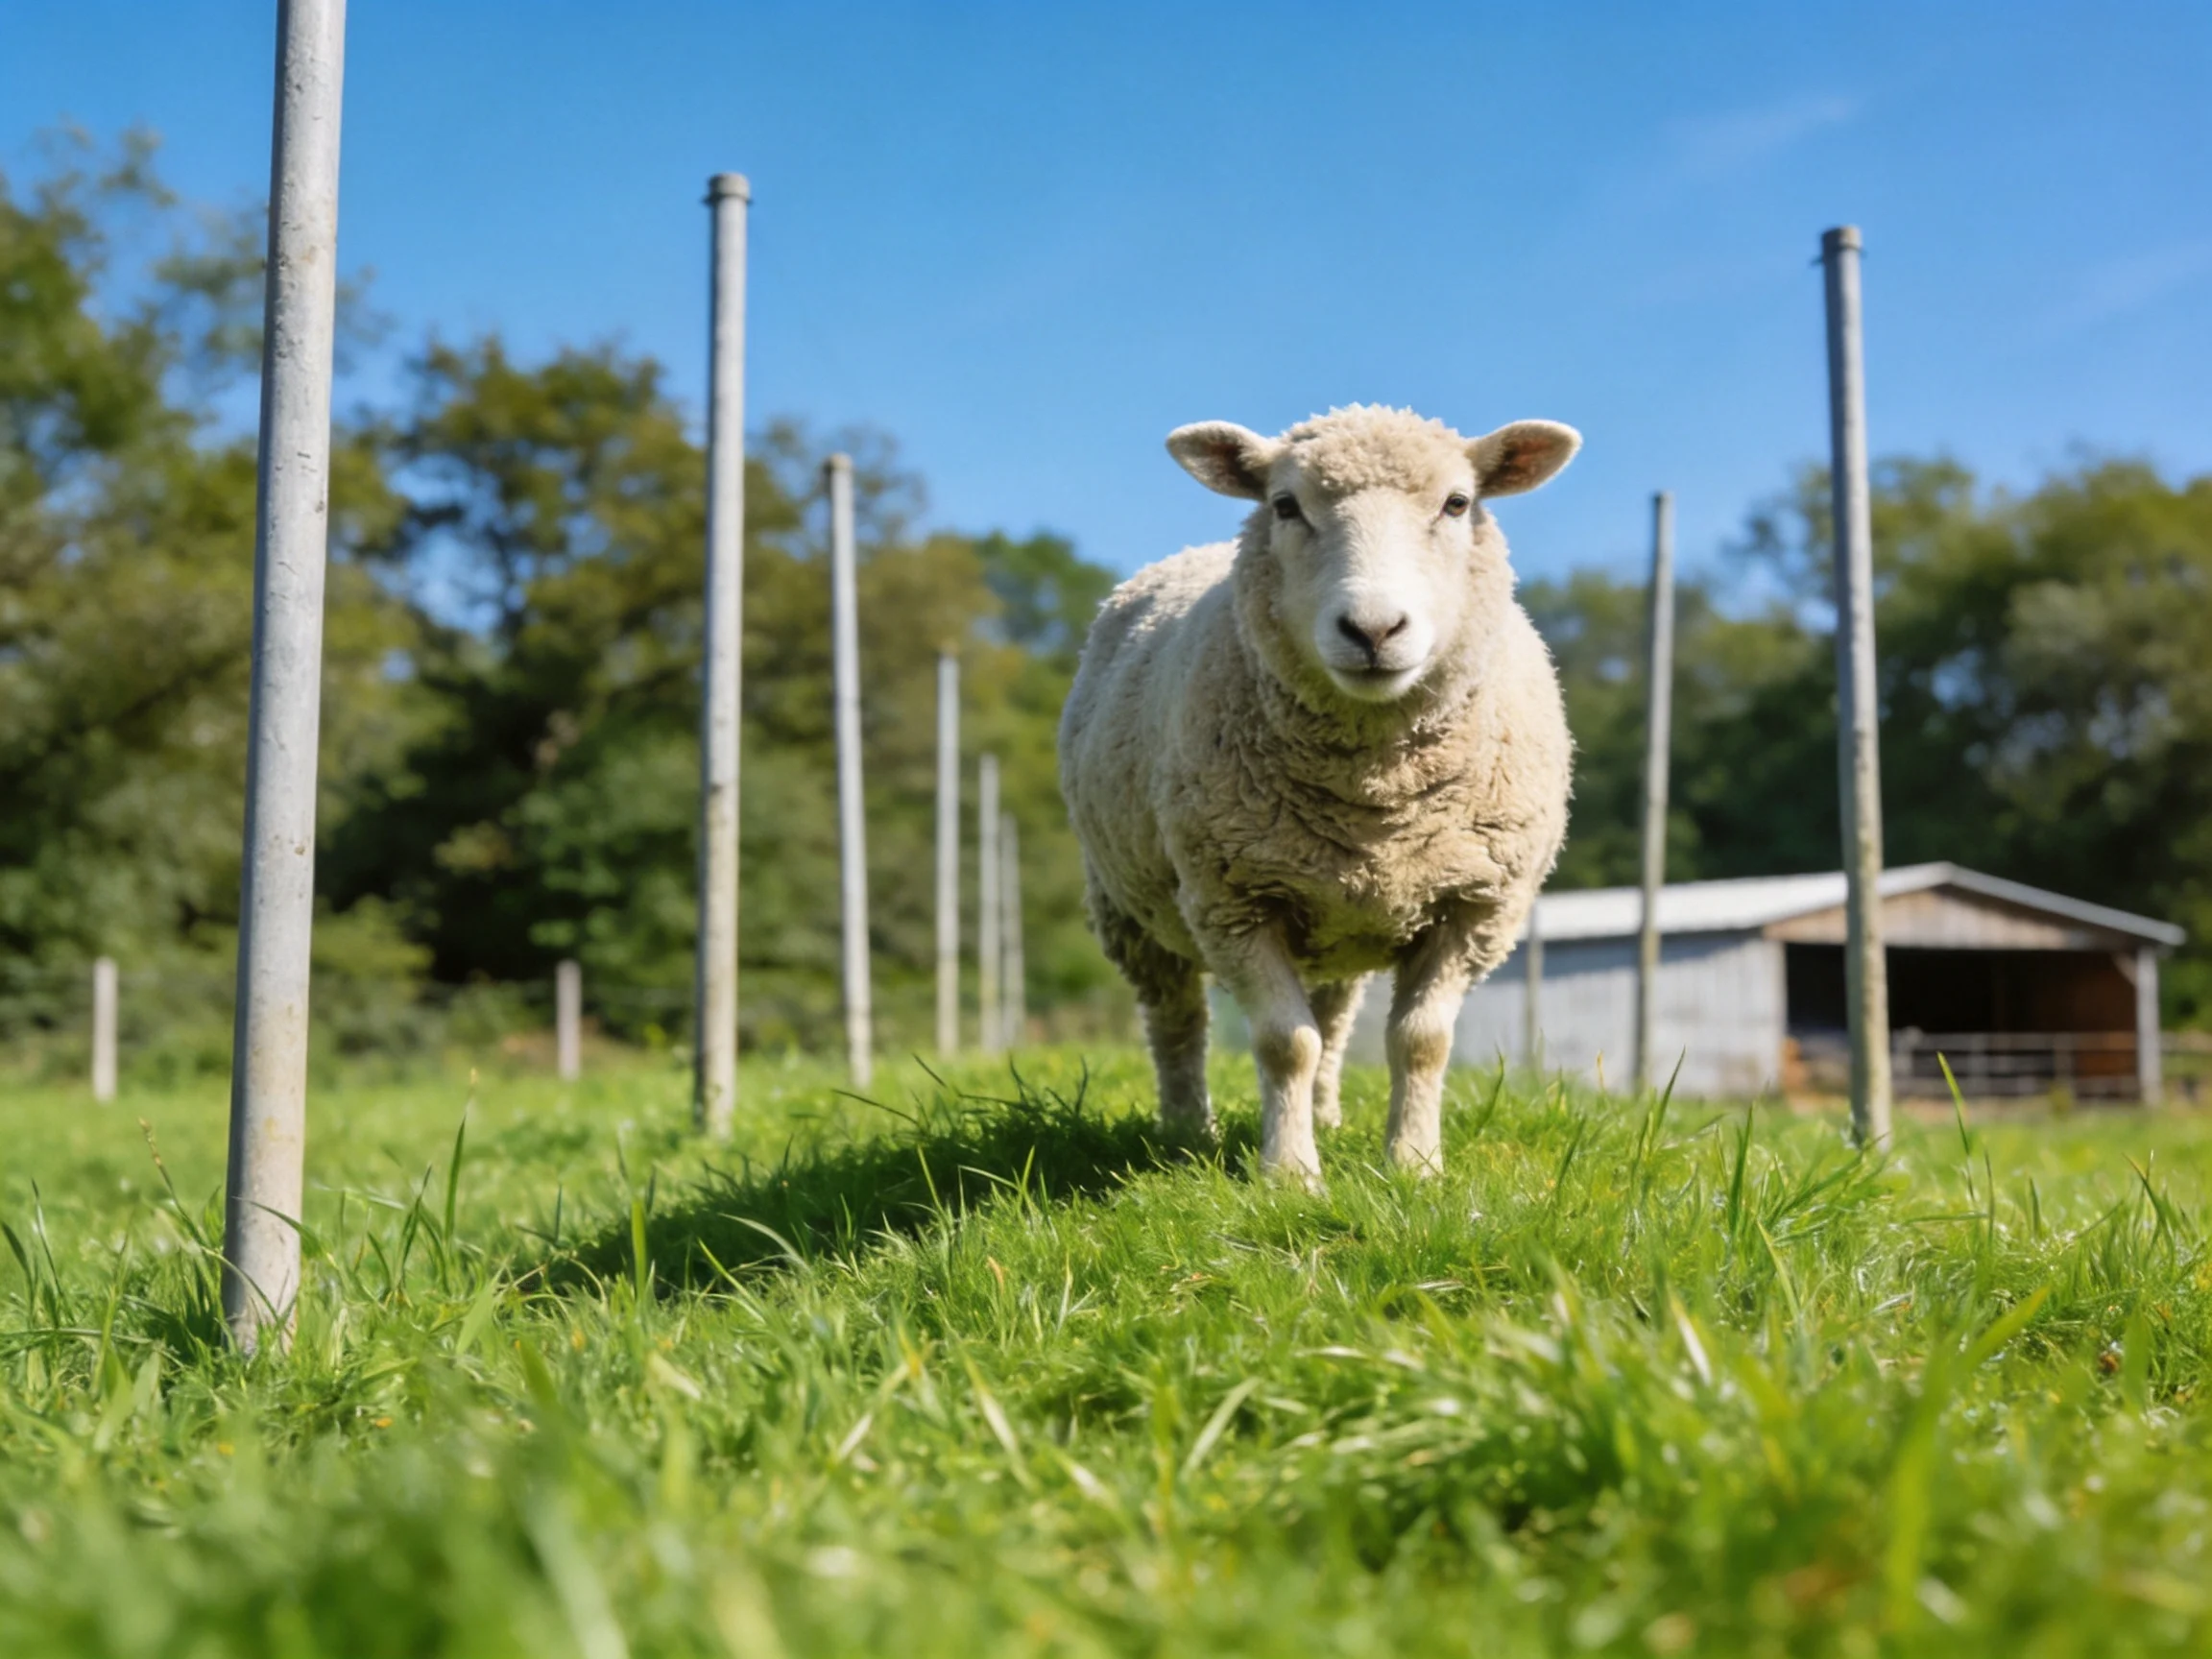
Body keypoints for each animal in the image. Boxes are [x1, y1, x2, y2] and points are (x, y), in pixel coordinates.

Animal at [1058, 405, 1578, 1183]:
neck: (1377, 798)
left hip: (1342, 917)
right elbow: (1283, 1043)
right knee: (1177, 1021)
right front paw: (1290, 1176)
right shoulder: (1234, 901)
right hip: (1132, 910)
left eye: (1457, 504)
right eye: (1285, 506)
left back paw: (1328, 1116)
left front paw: (1414, 1166)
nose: (1373, 629)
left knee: (1332, 1017)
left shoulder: (1474, 904)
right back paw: (1186, 1130)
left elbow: (1421, 1039)